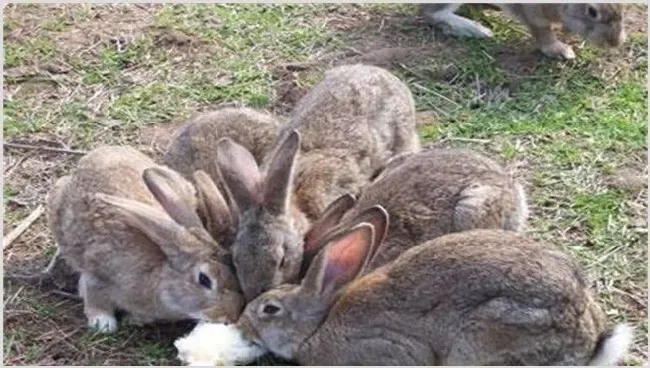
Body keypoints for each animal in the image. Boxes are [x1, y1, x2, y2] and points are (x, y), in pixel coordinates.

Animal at [46, 147, 242, 334]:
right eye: (204, 279)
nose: (231, 315)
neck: (158, 276)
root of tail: (98, 152)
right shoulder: (98, 275)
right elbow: (95, 299)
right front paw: (103, 324)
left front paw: (134, 319)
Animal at [420, 3, 624, 59]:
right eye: (592, 11)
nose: (615, 42)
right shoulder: (533, 12)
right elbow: (542, 31)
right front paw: (559, 51)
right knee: (431, 13)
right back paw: (475, 29)